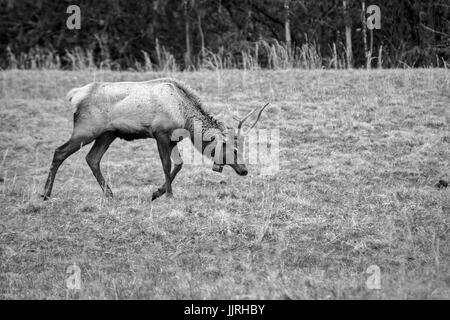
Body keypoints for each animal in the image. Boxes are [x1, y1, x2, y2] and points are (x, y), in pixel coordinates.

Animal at [41, 78, 268, 200]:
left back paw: (110, 194)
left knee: (92, 159)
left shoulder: (173, 138)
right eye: (235, 150)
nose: (244, 170)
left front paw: (156, 192)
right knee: (60, 151)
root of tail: (75, 95)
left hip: (108, 134)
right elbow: (166, 164)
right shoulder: (159, 133)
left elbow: (179, 164)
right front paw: (168, 195)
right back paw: (45, 194)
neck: (184, 117)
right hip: (87, 129)